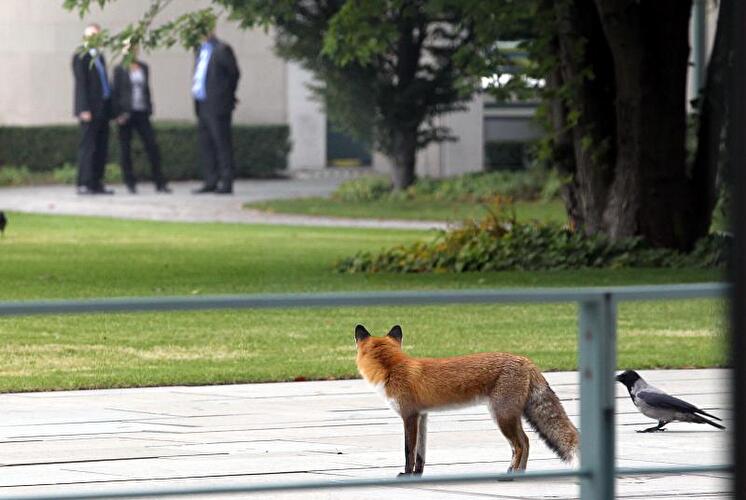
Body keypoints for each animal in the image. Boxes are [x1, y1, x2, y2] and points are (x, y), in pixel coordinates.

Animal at [354, 324, 578, 476]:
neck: (393, 369)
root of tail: (526, 360)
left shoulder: (409, 416)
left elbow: (409, 450)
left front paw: (407, 474)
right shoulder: (422, 416)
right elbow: (420, 454)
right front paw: (418, 474)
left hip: (502, 417)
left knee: (521, 444)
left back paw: (513, 473)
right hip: (507, 416)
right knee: (526, 441)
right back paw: (518, 472)